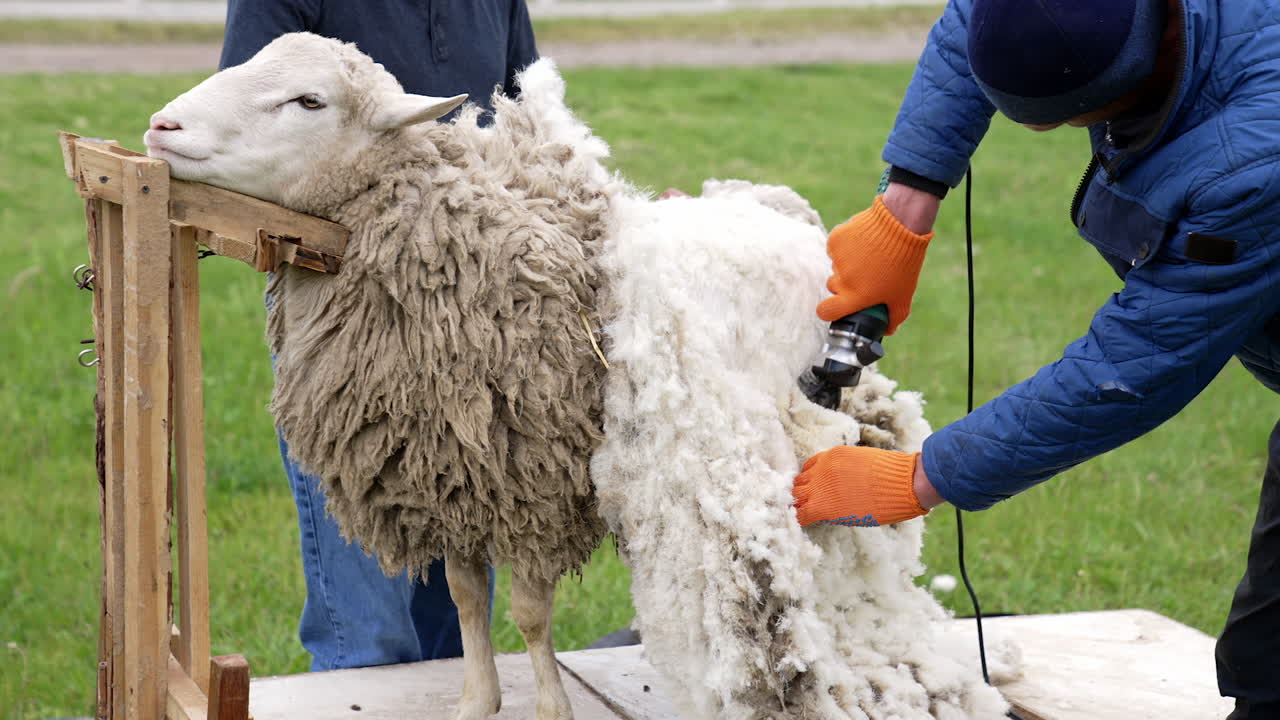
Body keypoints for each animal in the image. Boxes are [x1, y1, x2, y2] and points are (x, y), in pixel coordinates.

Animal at [143, 32, 1019, 720]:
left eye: (308, 101)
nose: (160, 124)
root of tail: (774, 201)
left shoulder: (533, 486)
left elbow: (531, 615)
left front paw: (550, 708)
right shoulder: (451, 478)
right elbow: (468, 598)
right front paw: (476, 701)